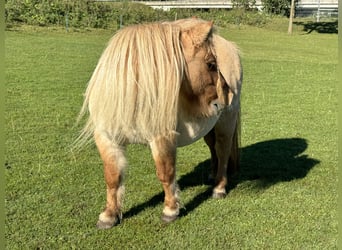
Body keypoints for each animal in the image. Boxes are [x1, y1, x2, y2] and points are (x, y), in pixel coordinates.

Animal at [78, 17, 243, 229]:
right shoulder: (107, 139)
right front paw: (109, 215)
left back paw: (219, 188)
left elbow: (166, 173)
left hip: (225, 123)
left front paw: (170, 211)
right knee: (213, 148)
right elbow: (113, 176)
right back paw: (212, 176)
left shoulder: (162, 138)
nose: (225, 97)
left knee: (222, 151)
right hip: (209, 127)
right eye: (211, 64)